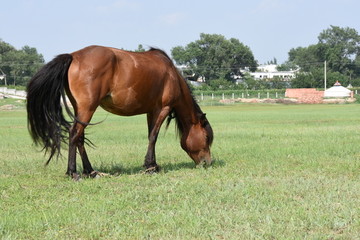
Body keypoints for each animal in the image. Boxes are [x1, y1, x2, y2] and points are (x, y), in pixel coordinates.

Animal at [28, 46, 215, 179]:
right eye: (206, 137)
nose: (207, 162)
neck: (171, 75)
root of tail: (73, 56)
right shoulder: (163, 108)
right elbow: (154, 137)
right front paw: (150, 166)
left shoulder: (151, 111)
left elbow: (150, 135)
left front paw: (152, 165)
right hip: (87, 109)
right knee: (74, 134)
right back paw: (73, 172)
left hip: (80, 110)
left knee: (79, 137)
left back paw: (91, 171)